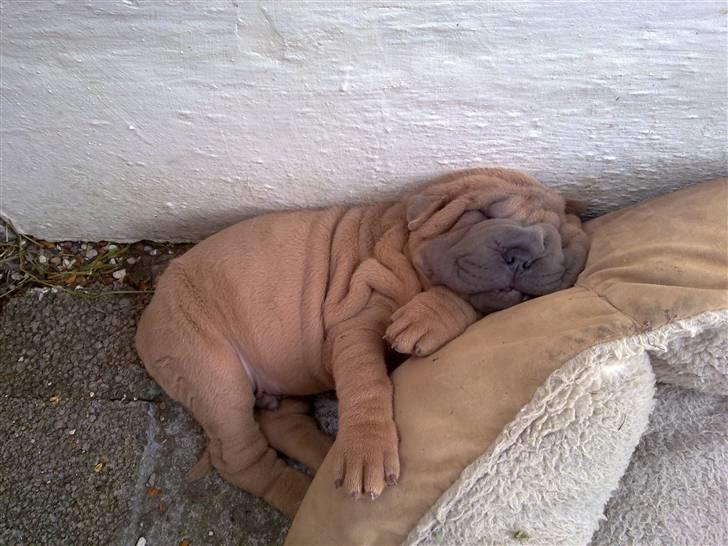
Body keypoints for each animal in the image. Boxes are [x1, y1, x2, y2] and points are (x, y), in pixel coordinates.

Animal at [138, 166, 592, 516]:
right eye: (480, 213)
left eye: (558, 236)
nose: (524, 252)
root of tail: (148, 318)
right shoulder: (355, 321)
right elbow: (366, 382)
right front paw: (366, 453)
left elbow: (465, 296)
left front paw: (424, 318)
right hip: (209, 368)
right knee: (238, 458)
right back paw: (300, 494)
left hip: (283, 381)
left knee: (284, 425)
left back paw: (324, 462)